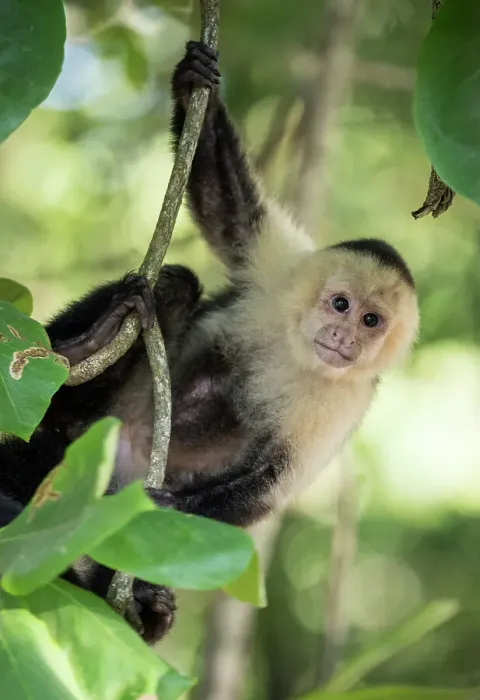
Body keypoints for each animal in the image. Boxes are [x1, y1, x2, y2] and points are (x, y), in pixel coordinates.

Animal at [0, 41, 419, 645]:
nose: (344, 338)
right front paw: (193, 81)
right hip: (90, 429)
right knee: (170, 287)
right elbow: (229, 214)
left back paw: (148, 608)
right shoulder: (281, 275)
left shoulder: (349, 399)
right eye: (340, 305)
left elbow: (267, 485)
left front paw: (160, 506)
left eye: (372, 320)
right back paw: (79, 352)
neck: (298, 350)